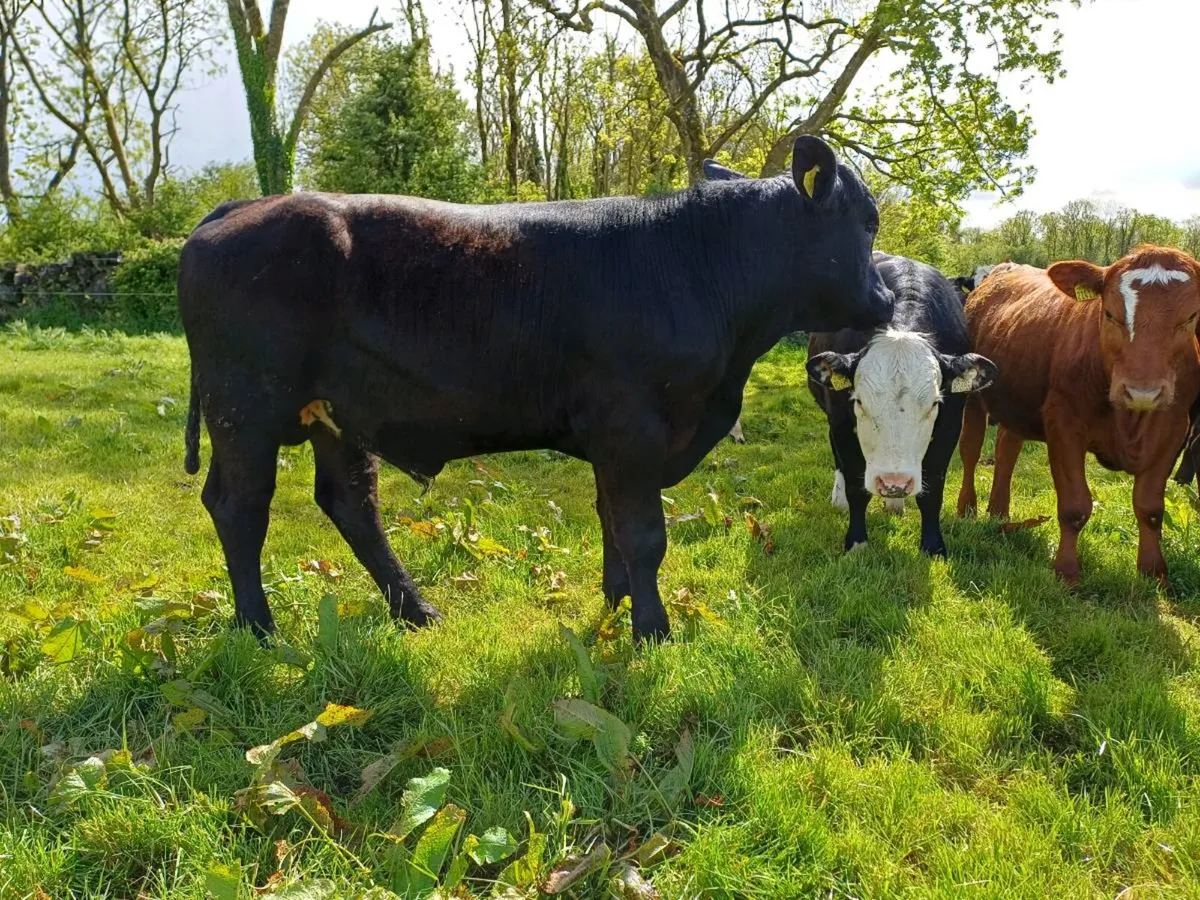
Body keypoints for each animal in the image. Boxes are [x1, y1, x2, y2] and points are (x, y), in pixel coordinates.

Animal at [179, 136, 895, 644]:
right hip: (245, 408)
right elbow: (643, 533)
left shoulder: (617, 442)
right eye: (869, 222)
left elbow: (613, 524)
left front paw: (615, 609)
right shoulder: (632, 428)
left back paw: (416, 612)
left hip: (335, 412)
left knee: (352, 504)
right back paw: (260, 630)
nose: (887, 297)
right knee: (240, 506)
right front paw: (653, 632)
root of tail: (244, 207)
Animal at [804, 252, 997, 555]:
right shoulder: (841, 421)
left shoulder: (950, 424)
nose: (894, 482)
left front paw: (933, 547)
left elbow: (932, 491)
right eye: (859, 402)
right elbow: (856, 485)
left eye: (934, 404)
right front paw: (856, 543)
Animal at [956, 246, 1200, 586]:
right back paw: (967, 510)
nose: (1142, 392)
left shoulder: (1174, 429)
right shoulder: (1064, 424)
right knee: (970, 451)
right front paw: (1067, 571)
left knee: (1006, 451)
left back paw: (999, 513)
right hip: (974, 397)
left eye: (1190, 317)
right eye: (1109, 313)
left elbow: (1150, 507)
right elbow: (1075, 506)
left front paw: (1153, 573)